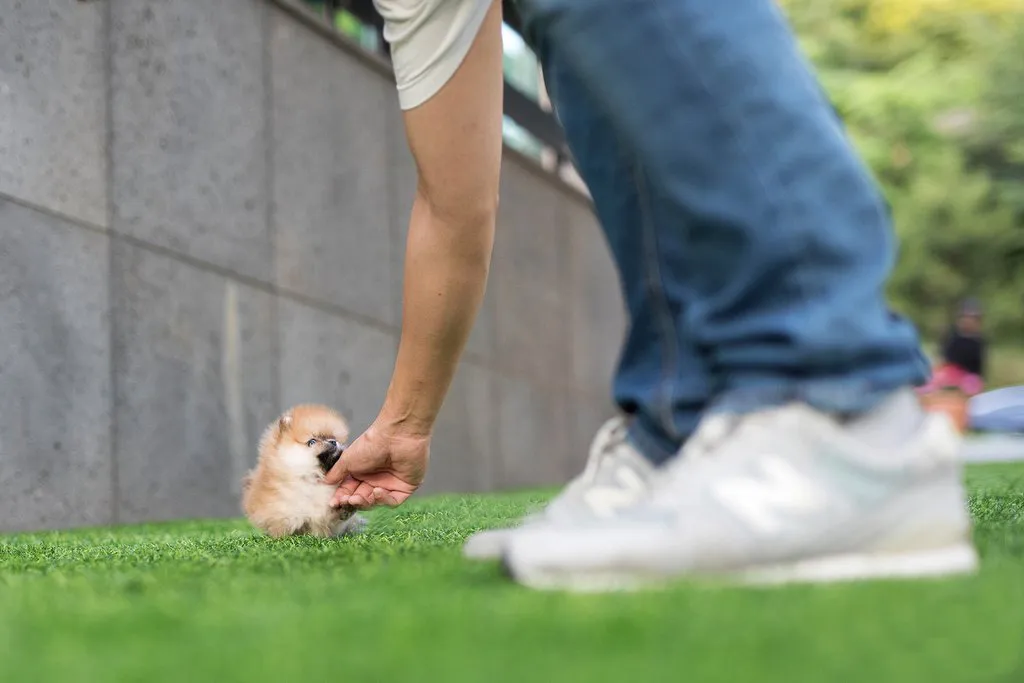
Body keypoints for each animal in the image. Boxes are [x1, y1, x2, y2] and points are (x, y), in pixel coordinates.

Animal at [241, 403, 366, 538]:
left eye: (333, 438)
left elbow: (332, 519)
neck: (312, 478)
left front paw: (346, 509)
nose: (333, 442)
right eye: (312, 441)